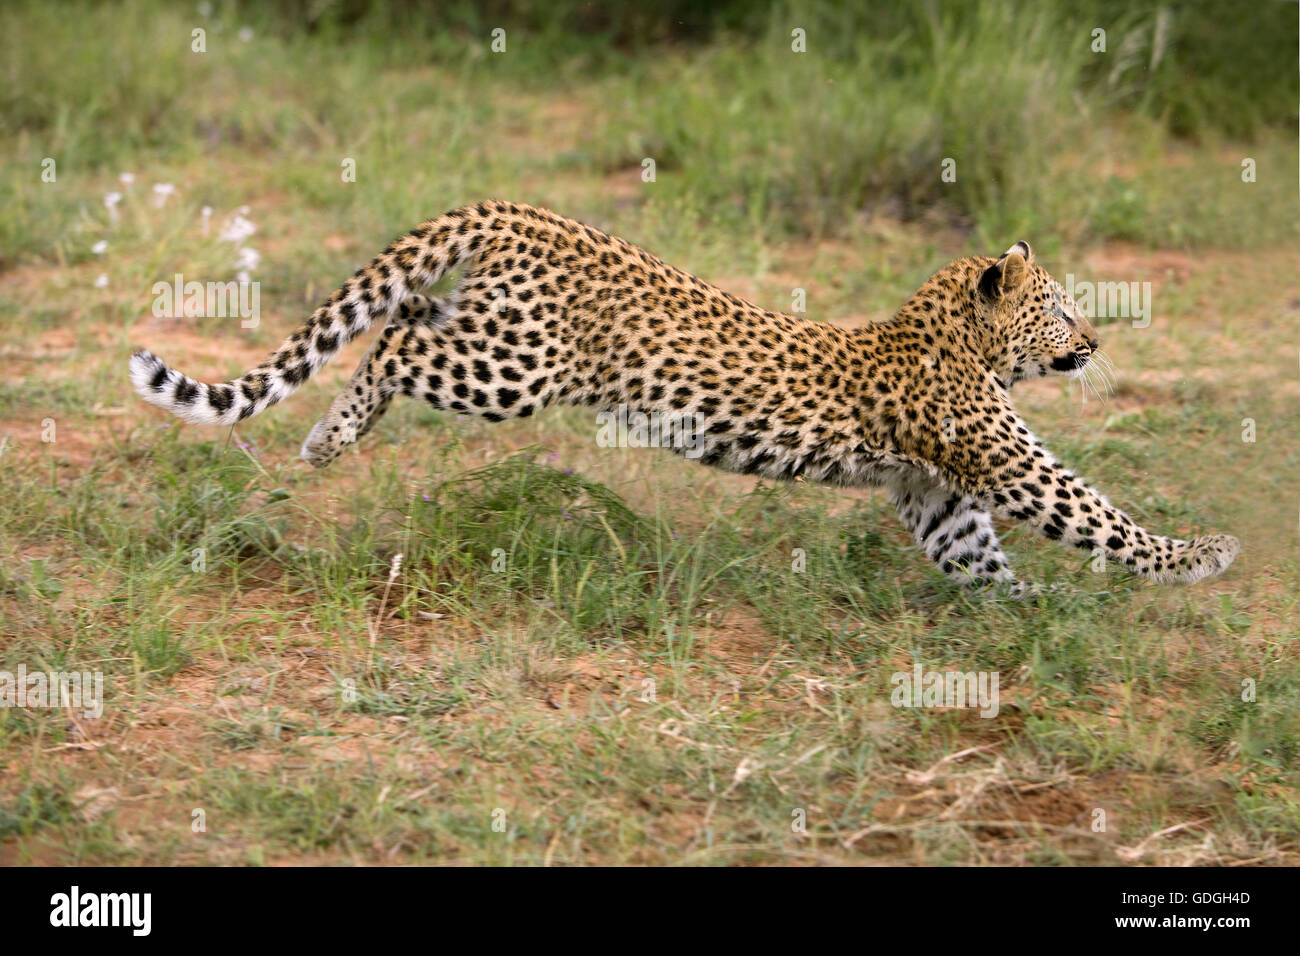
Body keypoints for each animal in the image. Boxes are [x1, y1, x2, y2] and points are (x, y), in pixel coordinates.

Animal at [129, 200, 1239, 590]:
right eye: (1058, 310)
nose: (1093, 341)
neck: (955, 336)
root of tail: (513, 209)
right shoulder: (1007, 464)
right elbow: (1098, 512)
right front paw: (1201, 556)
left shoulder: (940, 495)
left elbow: (977, 558)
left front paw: (1025, 619)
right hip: (512, 369)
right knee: (395, 342)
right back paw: (329, 437)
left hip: (489, 334)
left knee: (402, 318)